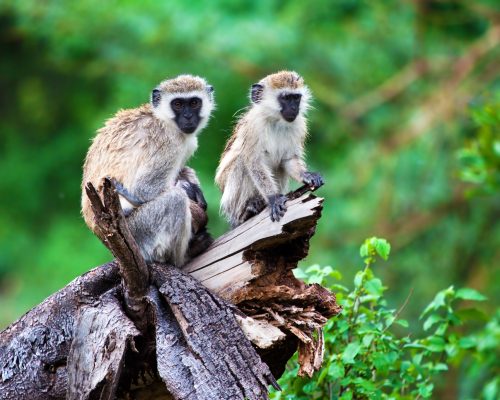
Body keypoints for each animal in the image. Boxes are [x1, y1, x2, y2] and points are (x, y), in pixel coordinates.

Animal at [82, 75, 215, 266]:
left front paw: (194, 190)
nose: (188, 117)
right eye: (178, 104)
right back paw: (183, 256)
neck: (163, 119)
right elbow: (145, 189)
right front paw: (189, 194)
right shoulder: (168, 143)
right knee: (174, 199)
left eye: (194, 103)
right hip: (139, 232)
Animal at [215, 71, 324, 228]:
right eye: (285, 98)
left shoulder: (299, 125)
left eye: (296, 98)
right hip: (230, 201)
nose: (294, 109)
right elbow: (253, 162)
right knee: (241, 162)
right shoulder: (254, 126)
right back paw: (247, 211)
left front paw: (307, 175)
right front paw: (273, 198)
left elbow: (288, 160)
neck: (276, 121)